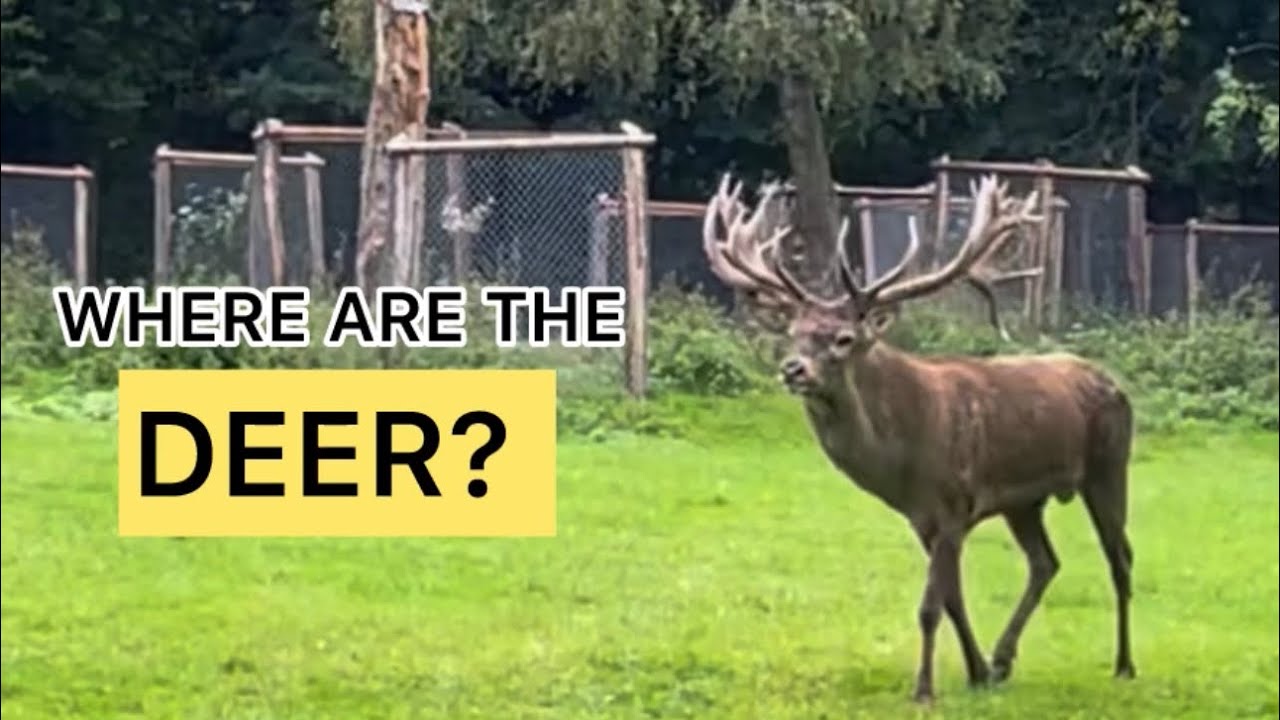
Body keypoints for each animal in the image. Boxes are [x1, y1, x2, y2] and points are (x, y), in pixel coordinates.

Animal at [701, 174, 1136, 704]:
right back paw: (1003, 659)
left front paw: (924, 689)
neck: (905, 459)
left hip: (1109, 465)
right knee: (1045, 562)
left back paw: (1124, 664)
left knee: (1120, 559)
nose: (793, 369)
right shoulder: (922, 518)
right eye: (794, 331)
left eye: (844, 338)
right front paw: (977, 671)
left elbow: (930, 606)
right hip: (1024, 501)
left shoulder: (952, 505)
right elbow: (952, 599)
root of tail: (1113, 382)